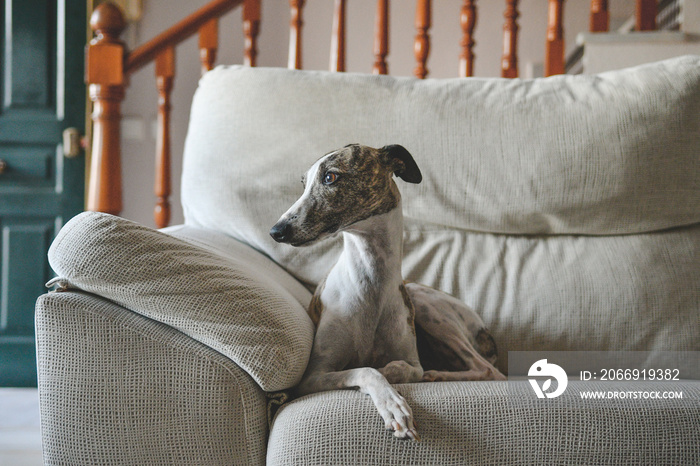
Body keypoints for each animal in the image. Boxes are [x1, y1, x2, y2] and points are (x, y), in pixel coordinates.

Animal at [268, 145, 504, 440]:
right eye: (304, 183)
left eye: (330, 177)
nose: (276, 231)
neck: (372, 282)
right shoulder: (313, 376)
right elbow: (366, 370)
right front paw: (392, 403)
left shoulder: (412, 361)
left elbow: (398, 368)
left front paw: (393, 381)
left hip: (424, 303)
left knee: (490, 371)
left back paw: (437, 374)